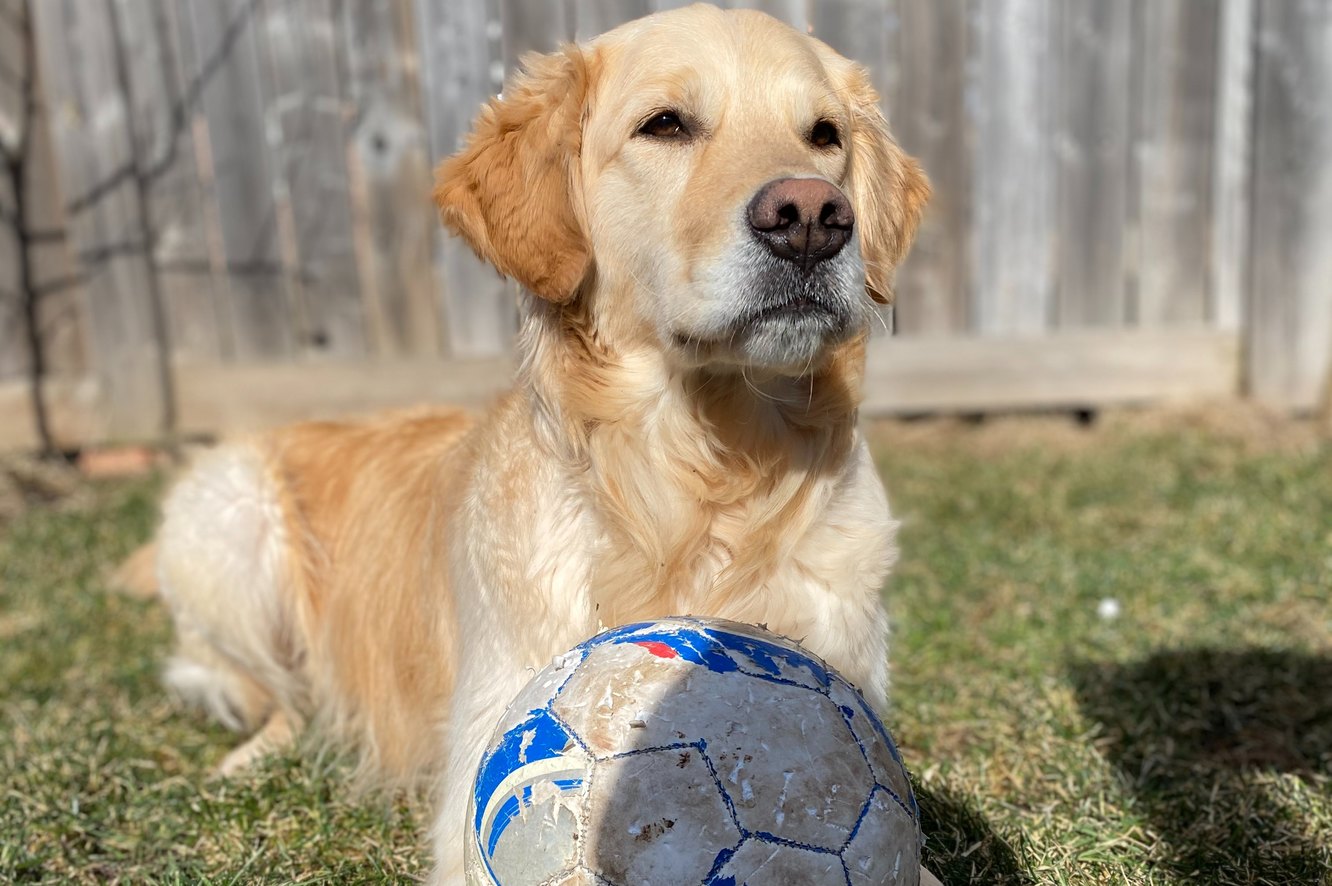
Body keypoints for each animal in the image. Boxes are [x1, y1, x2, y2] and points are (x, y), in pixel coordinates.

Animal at [143, 5, 927, 879]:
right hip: (224, 515)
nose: (813, 218)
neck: (703, 481)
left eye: (824, 135)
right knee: (276, 698)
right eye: (665, 124)